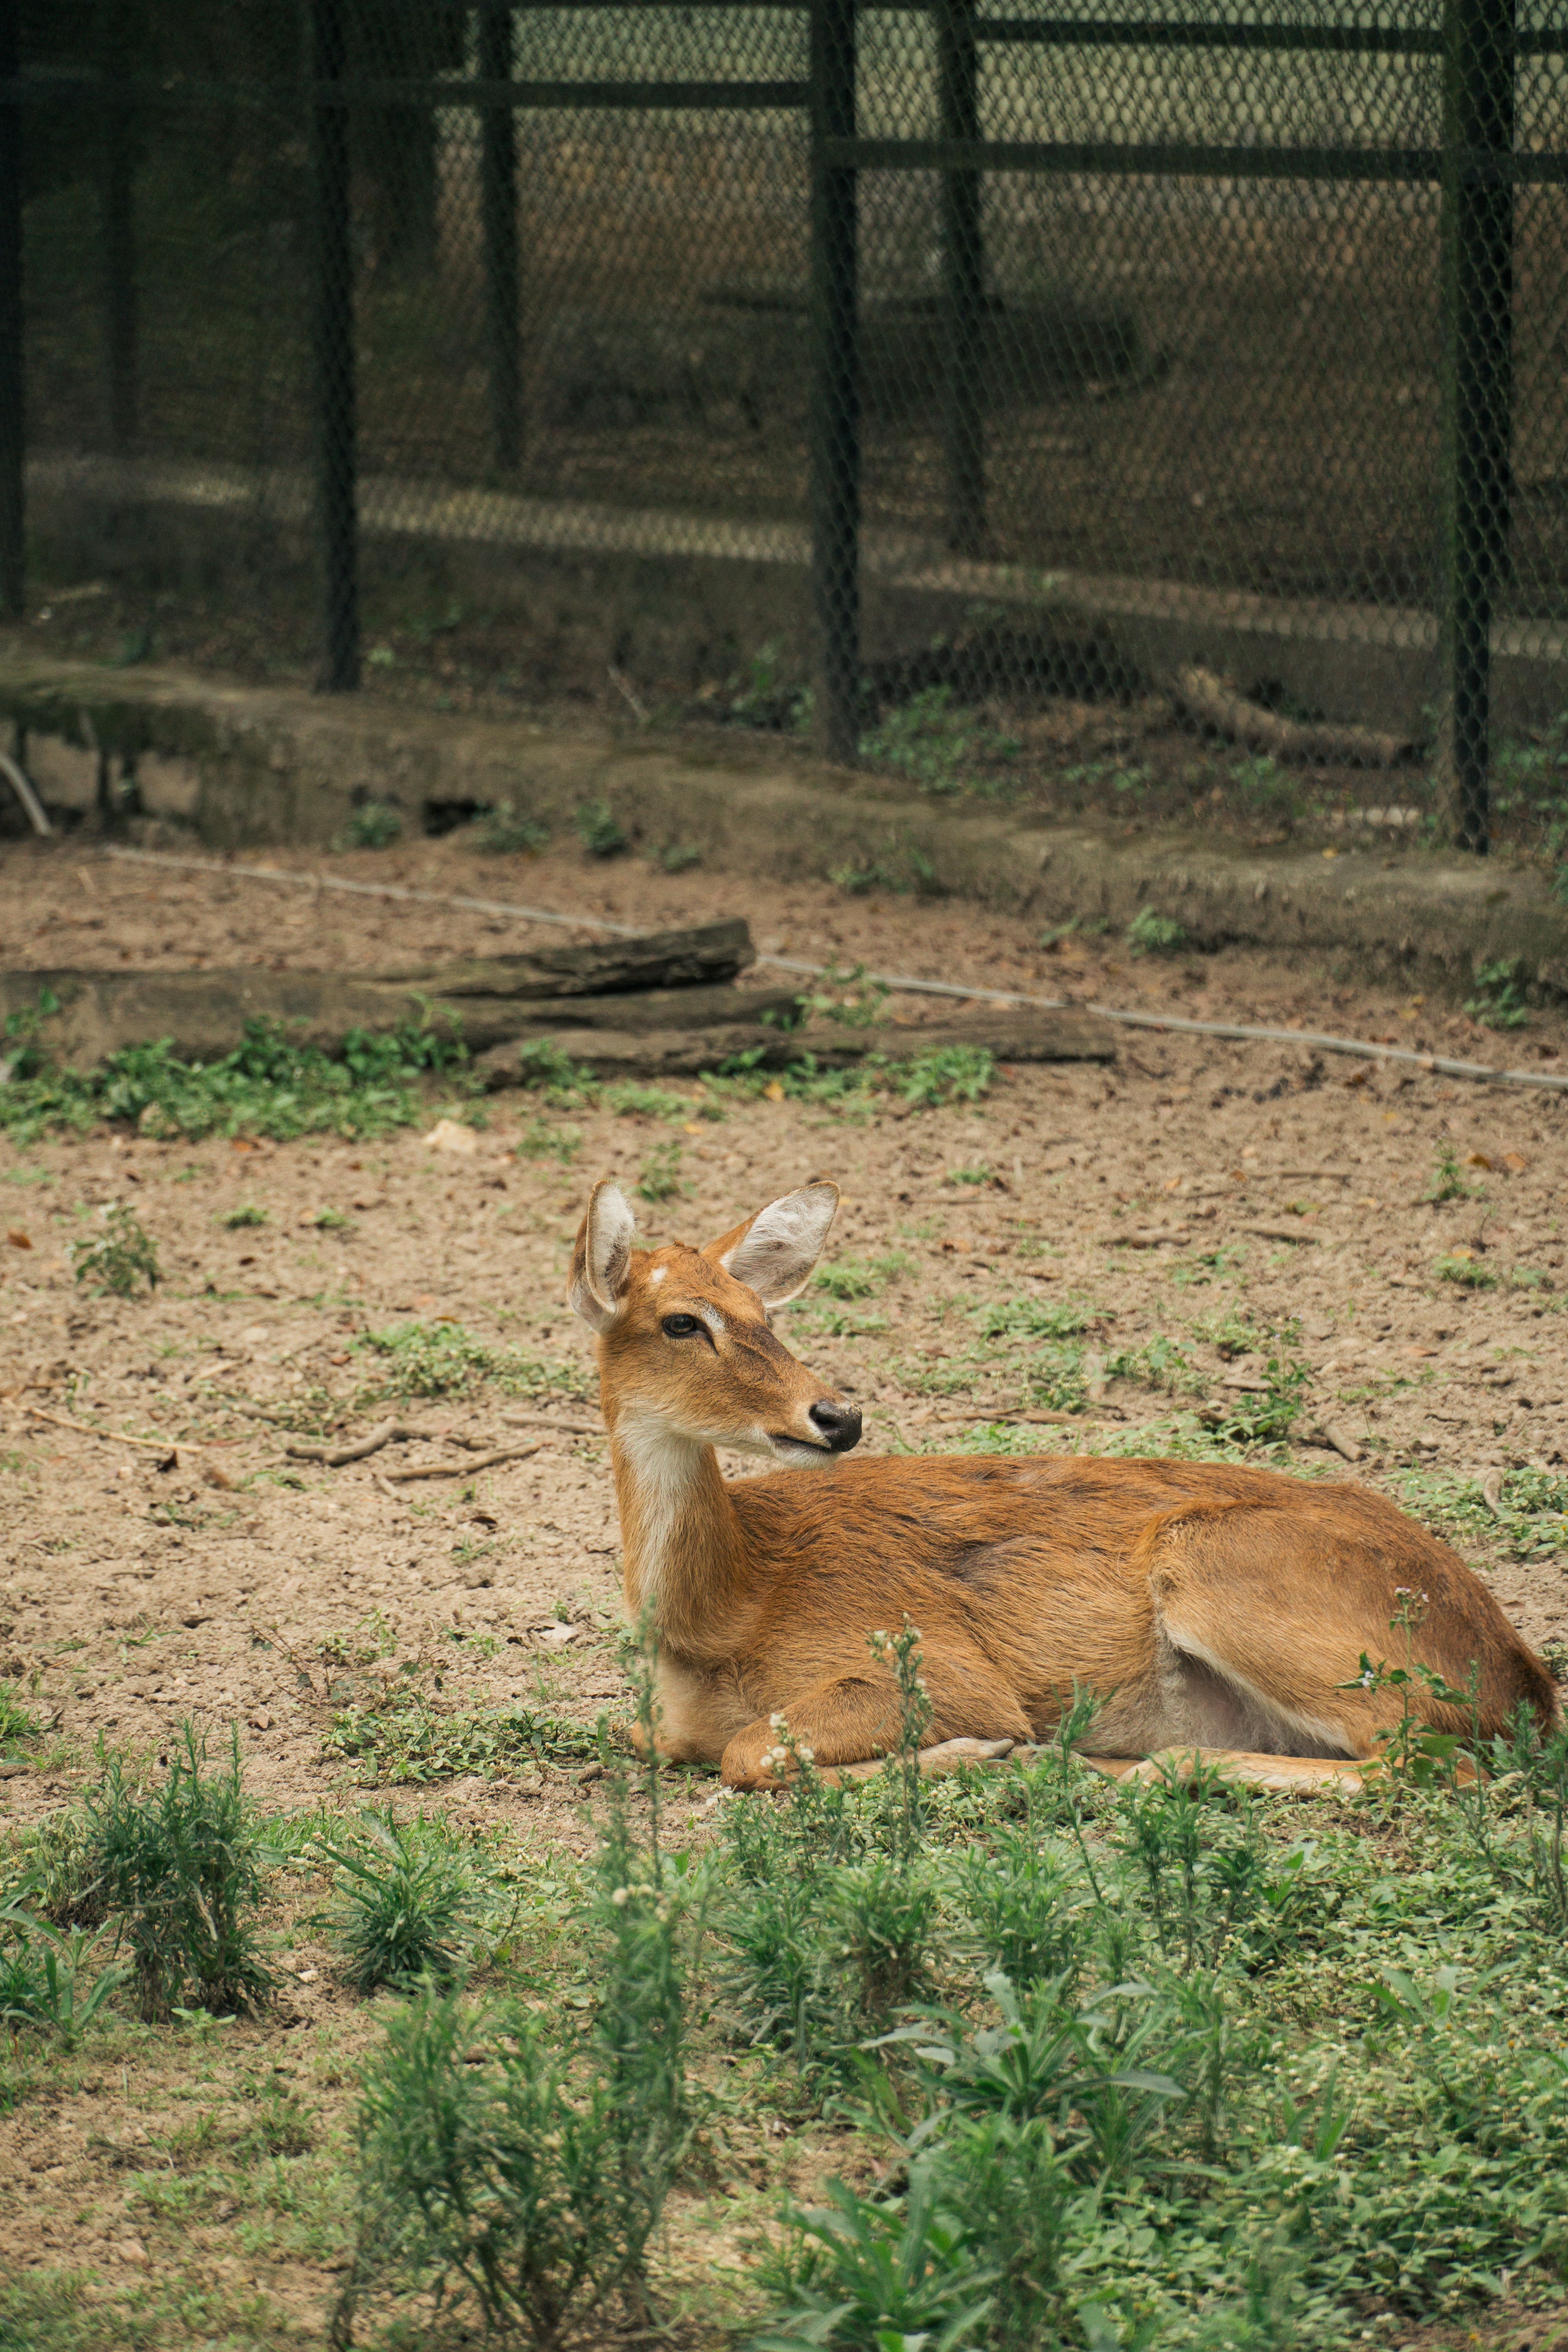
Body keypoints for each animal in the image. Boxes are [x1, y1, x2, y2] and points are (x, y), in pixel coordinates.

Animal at [569, 1175, 1557, 1792]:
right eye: (681, 1321)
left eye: (762, 1315)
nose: (835, 1416)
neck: (723, 1618)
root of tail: (1519, 1684)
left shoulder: (925, 1659)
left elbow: (747, 1754)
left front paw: (981, 1751)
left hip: (1222, 1566)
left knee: (1430, 1762)